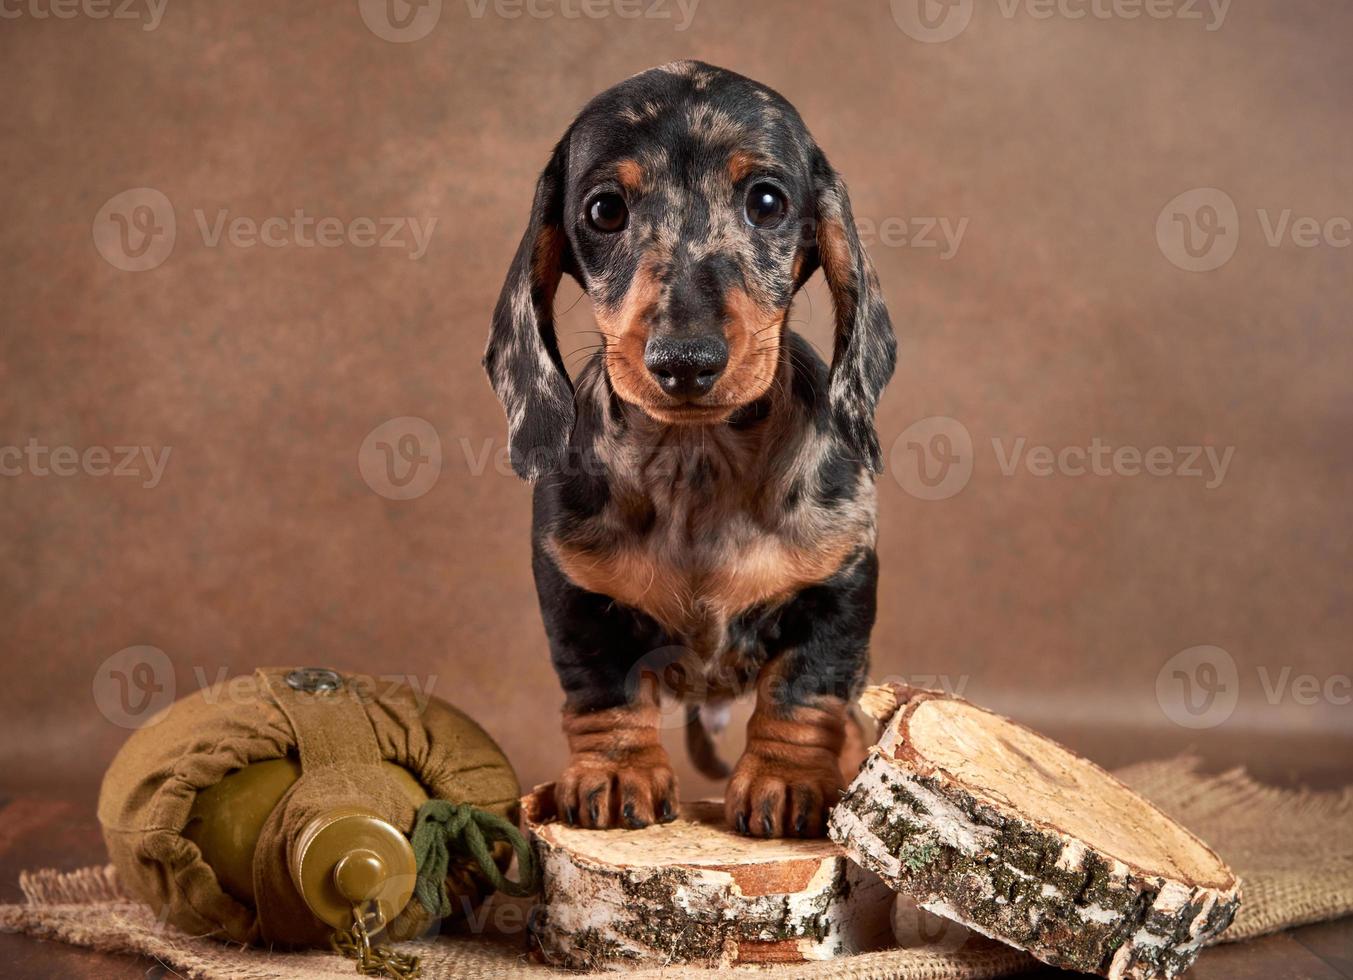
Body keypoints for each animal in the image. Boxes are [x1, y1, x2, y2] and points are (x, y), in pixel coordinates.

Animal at [481, 61, 892, 839]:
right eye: (605, 211)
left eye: (767, 201)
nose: (684, 361)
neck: (697, 462)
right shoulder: (573, 589)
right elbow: (602, 687)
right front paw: (615, 773)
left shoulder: (839, 583)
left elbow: (803, 690)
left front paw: (787, 779)